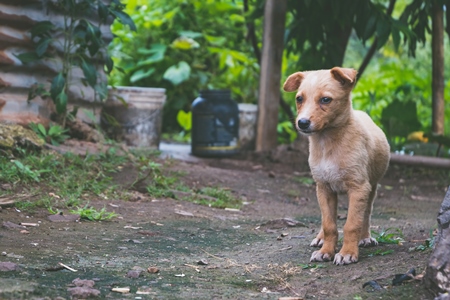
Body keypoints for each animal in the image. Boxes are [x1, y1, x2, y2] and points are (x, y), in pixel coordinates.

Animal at [284, 67, 388, 264]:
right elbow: (329, 224)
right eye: (299, 99)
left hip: (372, 188)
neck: (327, 142)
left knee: (366, 213)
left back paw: (365, 237)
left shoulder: (359, 188)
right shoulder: (324, 188)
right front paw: (325, 250)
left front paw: (347, 253)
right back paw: (320, 238)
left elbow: (352, 224)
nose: (302, 123)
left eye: (326, 100)